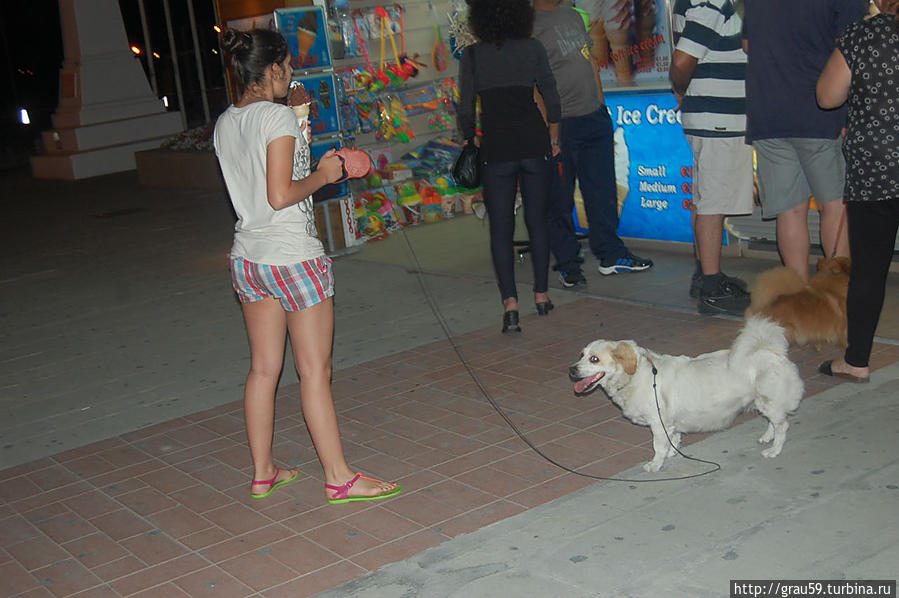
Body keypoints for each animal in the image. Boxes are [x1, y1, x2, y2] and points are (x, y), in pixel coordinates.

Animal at [568, 318, 804, 474]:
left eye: (594, 359)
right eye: (581, 355)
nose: (571, 370)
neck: (634, 376)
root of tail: (773, 352)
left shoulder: (658, 423)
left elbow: (658, 446)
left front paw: (656, 464)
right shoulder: (669, 424)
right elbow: (673, 439)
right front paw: (672, 452)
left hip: (769, 401)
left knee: (782, 425)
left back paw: (774, 450)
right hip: (765, 403)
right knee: (773, 422)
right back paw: (767, 437)